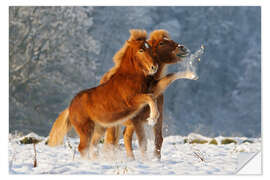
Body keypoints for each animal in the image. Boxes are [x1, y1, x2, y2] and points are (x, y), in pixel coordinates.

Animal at [47, 29, 159, 158]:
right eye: (141, 50)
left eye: (150, 48)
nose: (154, 67)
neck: (129, 78)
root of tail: (70, 108)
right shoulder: (132, 101)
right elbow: (150, 97)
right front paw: (153, 118)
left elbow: (152, 97)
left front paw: (153, 117)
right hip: (86, 129)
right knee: (83, 148)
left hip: (99, 129)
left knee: (92, 146)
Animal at [101, 29, 194, 159]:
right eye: (161, 43)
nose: (182, 48)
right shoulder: (136, 120)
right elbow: (142, 142)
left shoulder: (158, 118)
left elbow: (158, 139)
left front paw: (156, 160)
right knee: (112, 141)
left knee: (124, 138)